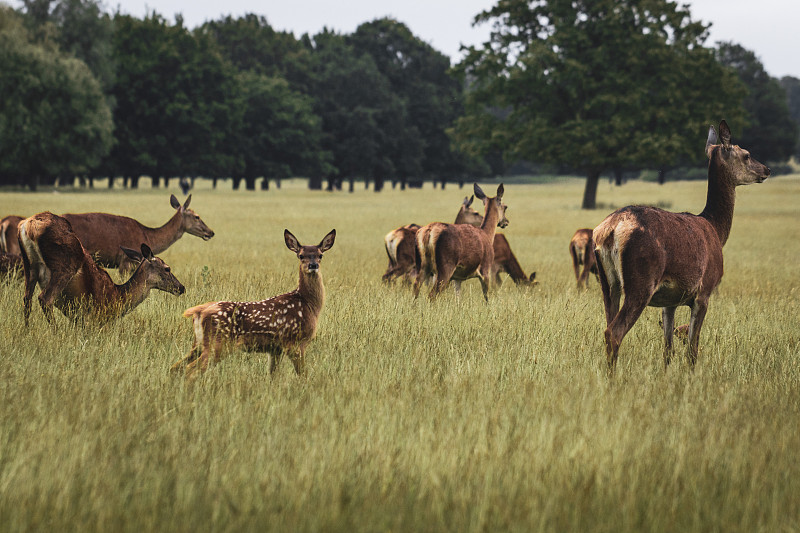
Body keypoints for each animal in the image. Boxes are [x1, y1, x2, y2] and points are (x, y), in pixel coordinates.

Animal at [18, 210, 185, 322]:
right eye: (167, 268)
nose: (181, 287)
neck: (117, 297)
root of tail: (28, 225)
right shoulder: (94, 318)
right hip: (64, 266)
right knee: (44, 298)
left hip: (29, 266)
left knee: (27, 299)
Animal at [172, 229, 338, 378]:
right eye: (301, 255)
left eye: (320, 255)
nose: (313, 265)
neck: (308, 304)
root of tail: (199, 311)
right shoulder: (295, 342)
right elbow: (303, 375)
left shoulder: (275, 349)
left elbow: (273, 376)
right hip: (219, 342)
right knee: (191, 370)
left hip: (198, 344)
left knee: (176, 367)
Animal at [592, 120, 768, 372]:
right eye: (746, 154)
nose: (766, 170)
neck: (716, 229)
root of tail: (610, 230)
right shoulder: (704, 291)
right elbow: (692, 349)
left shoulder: (670, 301)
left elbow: (668, 349)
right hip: (641, 280)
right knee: (614, 332)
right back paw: (613, 378)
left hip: (607, 283)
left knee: (608, 325)